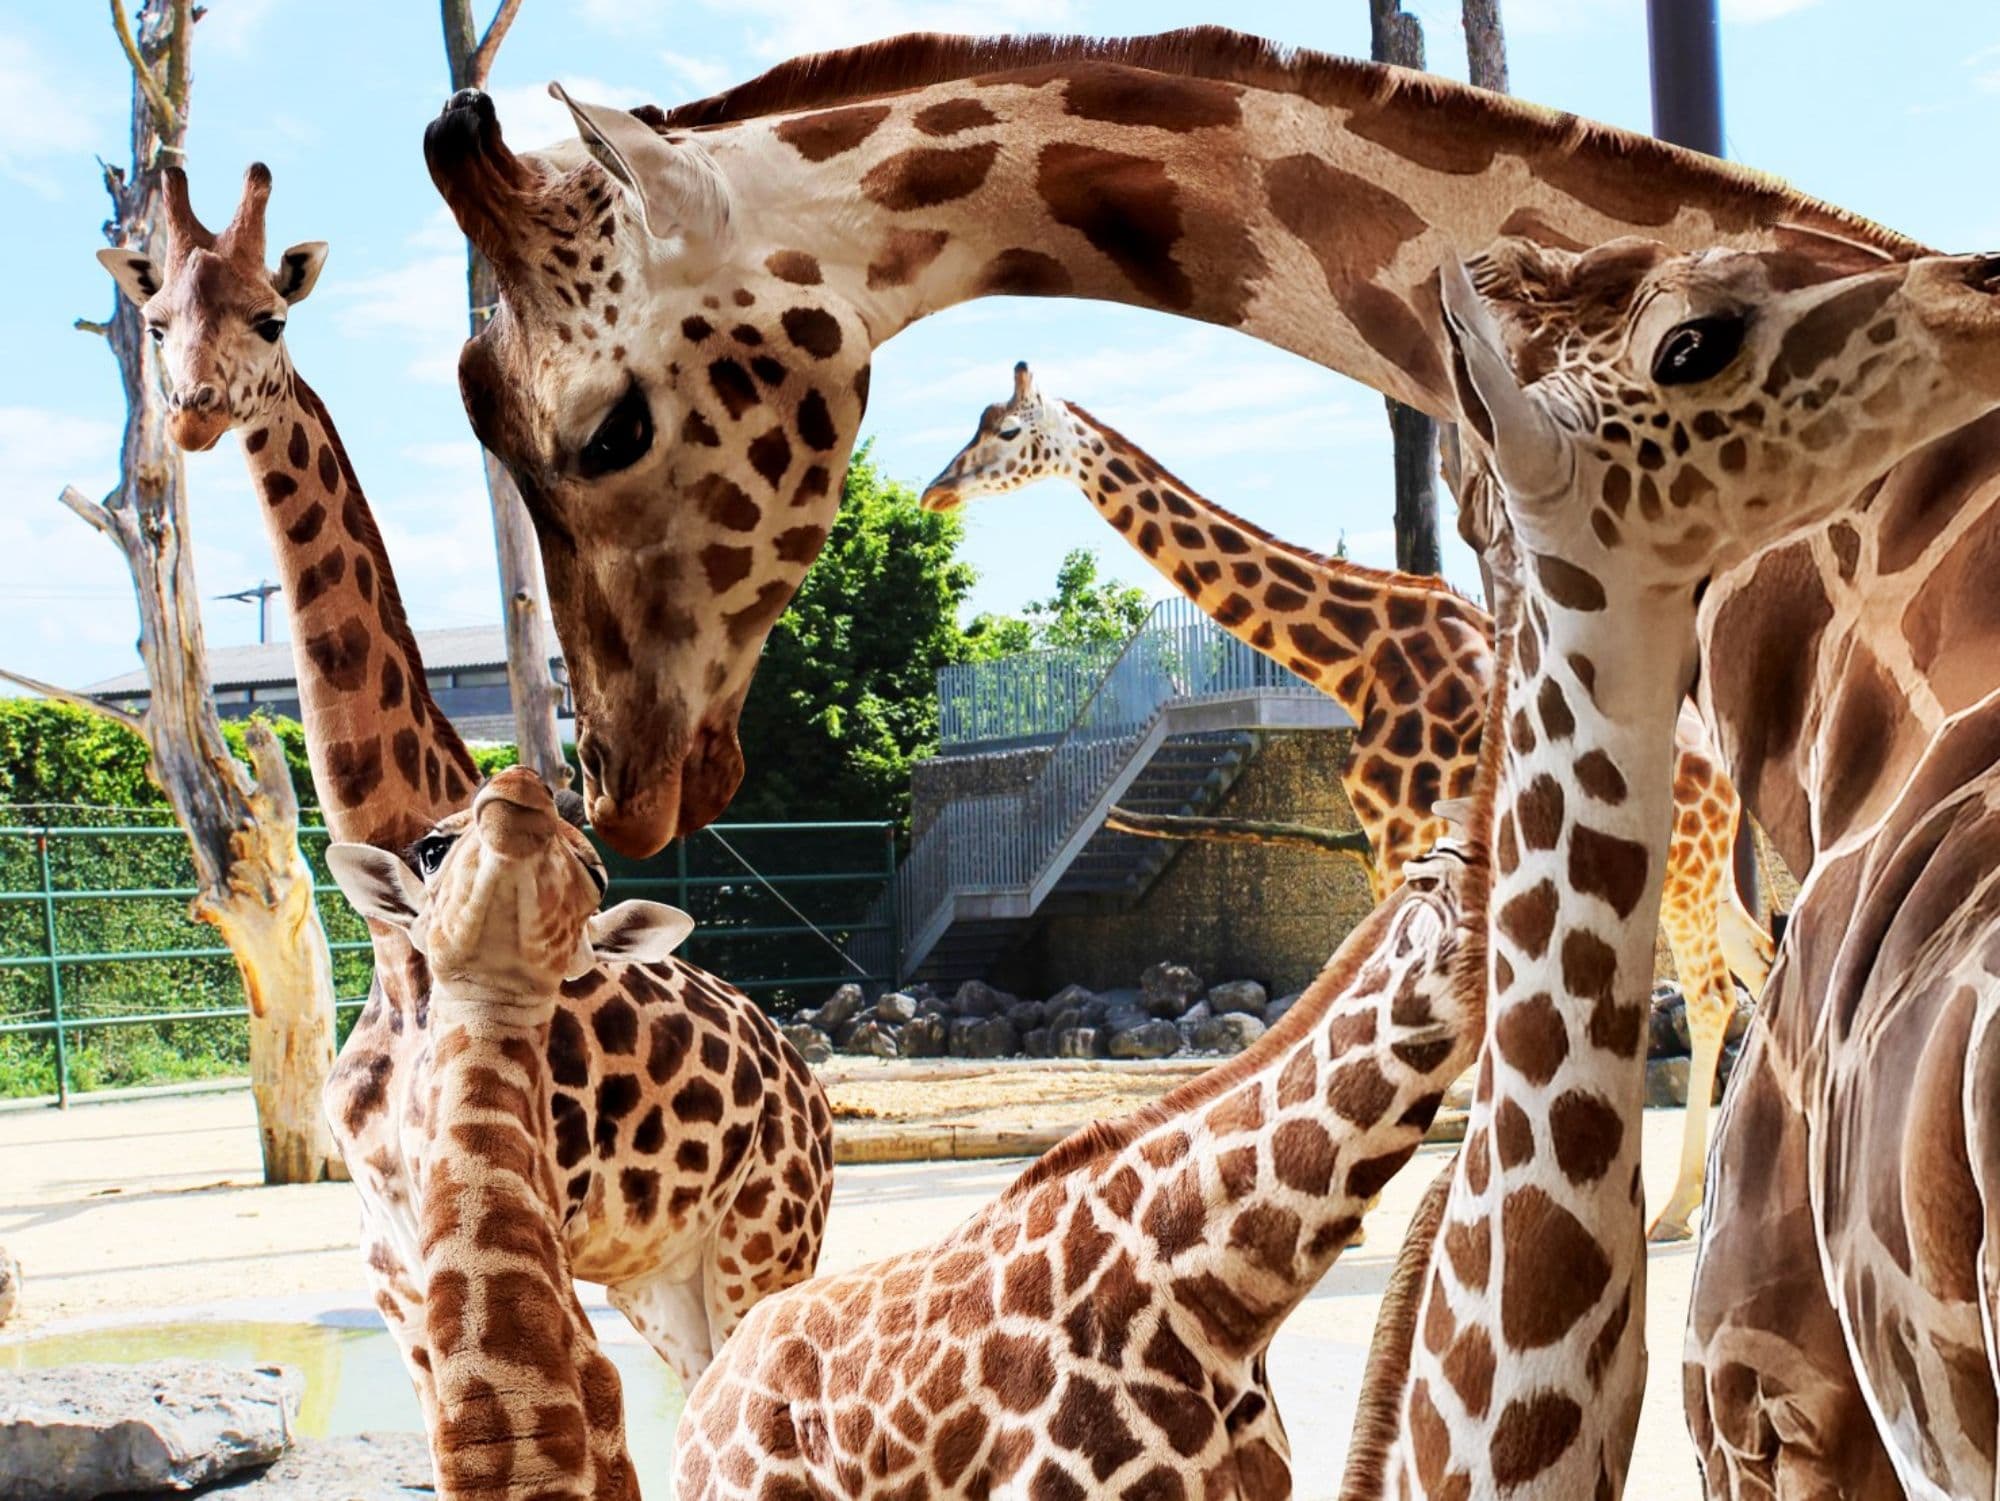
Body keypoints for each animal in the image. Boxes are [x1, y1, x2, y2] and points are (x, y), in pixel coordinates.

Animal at [925, 363, 1771, 1241]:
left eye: (1009, 431)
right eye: (976, 421)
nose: (935, 491)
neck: (1357, 658)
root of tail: (1721, 776)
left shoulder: (1404, 836)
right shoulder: (1380, 844)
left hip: (1682, 873)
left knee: (1709, 994)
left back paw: (1675, 1207)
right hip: (1700, 876)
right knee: (1757, 959)